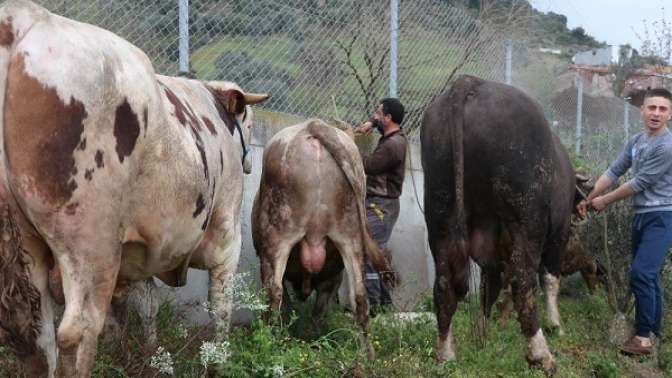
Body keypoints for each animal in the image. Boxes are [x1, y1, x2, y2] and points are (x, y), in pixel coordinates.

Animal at [0, 1, 268, 376]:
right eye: (250, 122)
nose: (249, 165)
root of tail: (26, 19)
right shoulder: (227, 234)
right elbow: (221, 307)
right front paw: (219, 361)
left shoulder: (141, 248)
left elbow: (147, 305)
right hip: (90, 239)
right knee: (78, 330)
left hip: (25, 242)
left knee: (40, 336)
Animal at [252, 119, 394, 356]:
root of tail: (313, 125)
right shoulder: (333, 275)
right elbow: (319, 310)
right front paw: (317, 340)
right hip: (351, 236)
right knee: (360, 295)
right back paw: (367, 354)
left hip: (277, 235)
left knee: (274, 292)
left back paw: (269, 343)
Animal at [420, 75, 584, 374]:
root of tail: (470, 83)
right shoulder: (559, 234)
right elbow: (549, 278)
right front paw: (555, 323)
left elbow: (491, 288)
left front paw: (487, 330)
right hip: (527, 219)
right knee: (523, 280)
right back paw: (541, 354)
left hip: (440, 211)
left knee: (446, 284)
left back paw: (446, 353)